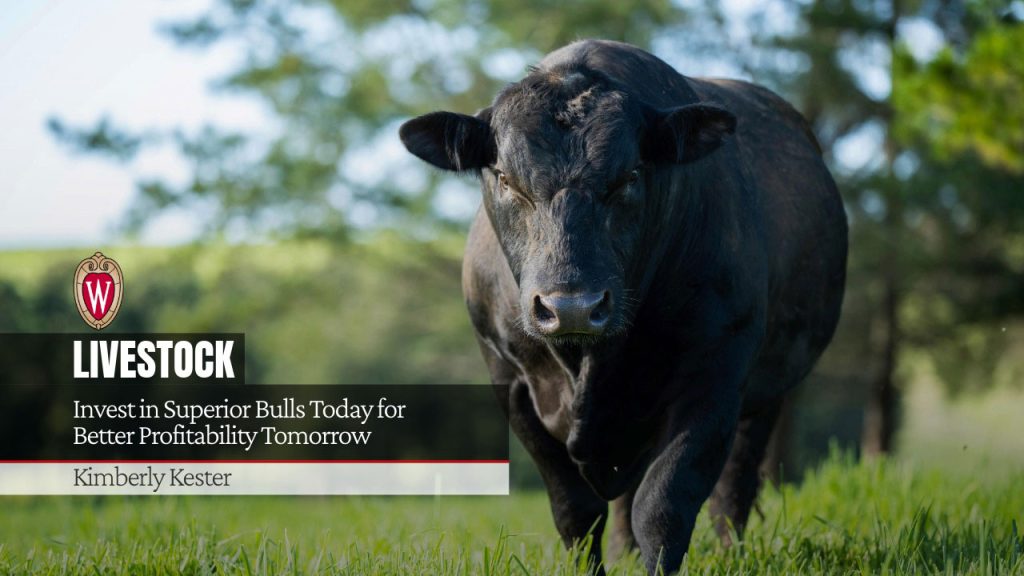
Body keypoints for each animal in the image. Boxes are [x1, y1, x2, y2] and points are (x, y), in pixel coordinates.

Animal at [399, 39, 847, 575]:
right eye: (506, 179)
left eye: (630, 176)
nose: (571, 306)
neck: (587, 365)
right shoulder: (510, 381)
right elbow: (575, 510)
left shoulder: (715, 373)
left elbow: (663, 503)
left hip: (770, 389)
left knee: (733, 487)